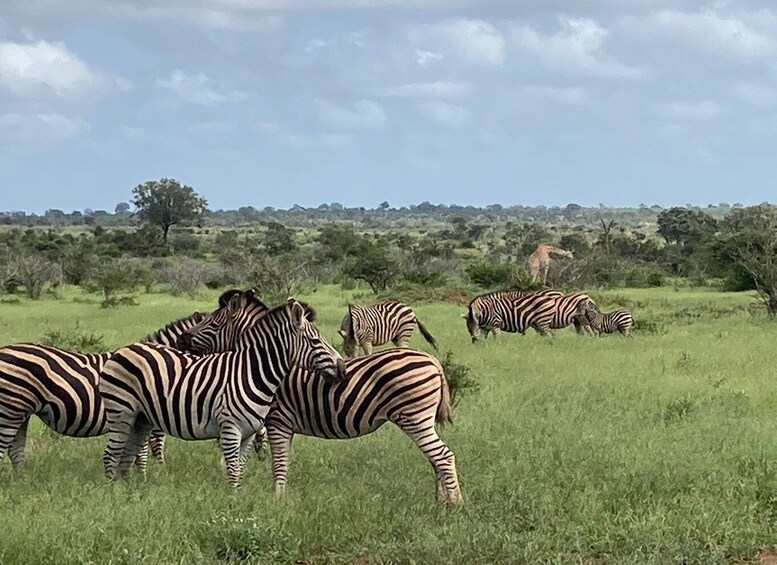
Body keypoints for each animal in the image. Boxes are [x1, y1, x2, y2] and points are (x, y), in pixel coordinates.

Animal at [0, 311, 207, 471]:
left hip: (21, 411)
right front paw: (148, 476)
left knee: (15, 450)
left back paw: (22, 480)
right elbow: (149, 450)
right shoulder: (151, 415)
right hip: (12, 409)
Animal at [99, 298, 346, 487]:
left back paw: (131, 491)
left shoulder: (248, 433)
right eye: (315, 341)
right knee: (111, 454)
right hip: (122, 413)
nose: (343, 368)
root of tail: (124, 349)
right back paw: (113, 492)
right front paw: (231, 504)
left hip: (141, 419)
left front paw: (239, 502)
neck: (252, 373)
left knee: (127, 455)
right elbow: (233, 470)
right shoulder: (230, 429)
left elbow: (240, 468)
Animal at [178, 293, 462, 505]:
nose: (181, 339)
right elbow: (278, 461)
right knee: (436, 458)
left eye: (213, 324)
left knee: (443, 456)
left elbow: (278, 463)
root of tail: (433, 360)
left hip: (413, 418)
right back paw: (441, 500)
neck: (264, 365)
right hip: (423, 420)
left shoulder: (277, 421)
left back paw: (454, 504)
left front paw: (277, 501)